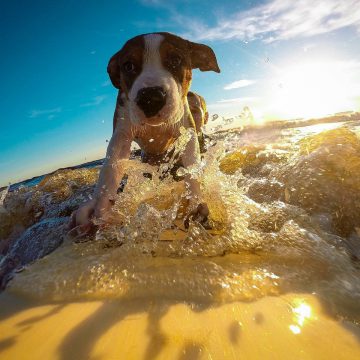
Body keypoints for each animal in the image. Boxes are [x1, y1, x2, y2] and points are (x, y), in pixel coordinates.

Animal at [68, 31, 219, 236]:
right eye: (128, 66)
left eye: (176, 60)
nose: (151, 97)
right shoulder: (121, 133)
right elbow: (110, 169)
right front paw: (100, 210)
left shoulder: (186, 130)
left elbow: (192, 166)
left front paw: (195, 202)